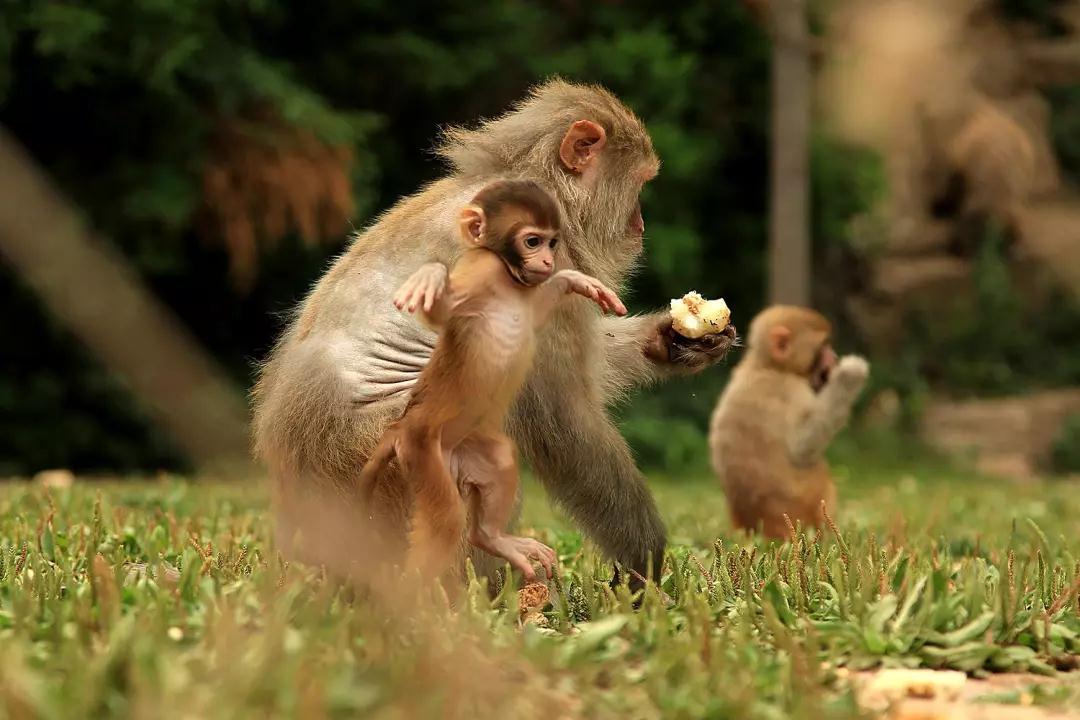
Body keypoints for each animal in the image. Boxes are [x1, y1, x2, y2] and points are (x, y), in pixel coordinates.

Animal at [360, 177, 626, 587]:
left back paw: (492, 538)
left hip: (468, 451)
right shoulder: (479, 269)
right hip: (423, 453)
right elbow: (442, 311)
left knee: (499, 464)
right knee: (445, 521)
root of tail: (399, 428)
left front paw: (571, 280)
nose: (548, 261)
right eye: (532, 241)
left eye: (552, 242)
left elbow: (536, 316)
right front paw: (430, 278)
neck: (508, 277)